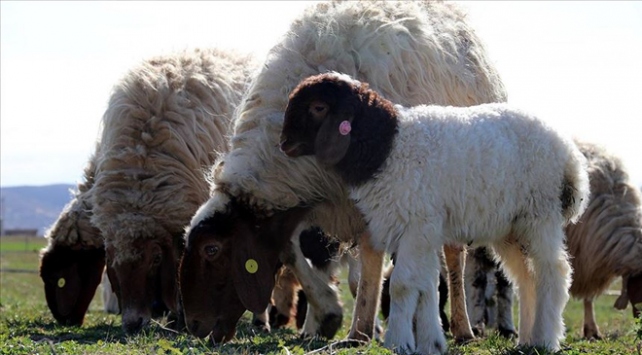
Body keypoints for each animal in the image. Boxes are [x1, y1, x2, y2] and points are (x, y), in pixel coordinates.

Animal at [179, 0, 504, 344]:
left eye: (211, 249)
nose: (194, 326)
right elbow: (292, 252)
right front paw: (331, 316)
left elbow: (368, 259)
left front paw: (357, 327)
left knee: (453, 254)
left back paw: (461, 327)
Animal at [280, 71, 592, 354]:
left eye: (318, 107)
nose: (283, 144)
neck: (387, 147)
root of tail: (570, 157)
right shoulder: (420, 229)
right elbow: (427, 285)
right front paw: (430, 342)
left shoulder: (417, 225)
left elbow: (402, 284)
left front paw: (398, 341)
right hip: (510, 228)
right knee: (526, 278)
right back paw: (527, 339)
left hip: (540, 215)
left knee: (554, 272)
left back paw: (546, 339)